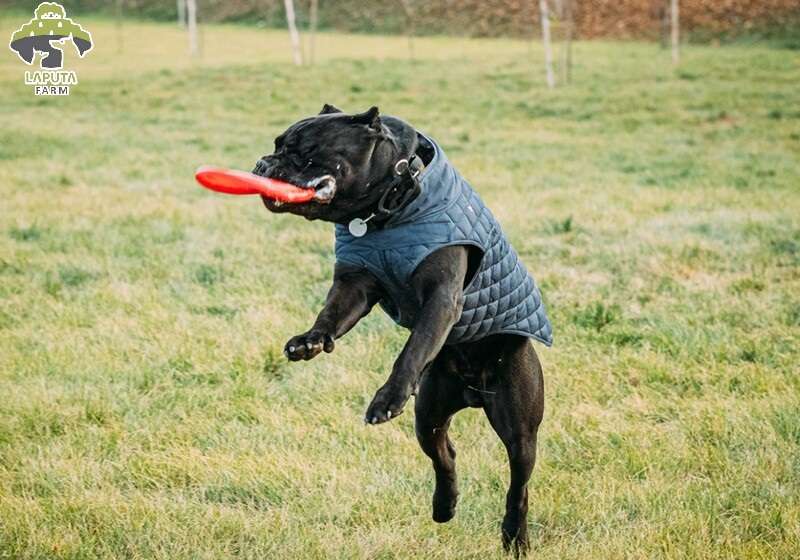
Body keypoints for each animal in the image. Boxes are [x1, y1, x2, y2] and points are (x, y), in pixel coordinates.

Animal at [253, 106, 552, 556]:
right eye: (276, 147)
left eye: (304, 153)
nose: (261, 165)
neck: (386, 210)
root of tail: (472, 392)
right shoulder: (355, 284)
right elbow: (331, 315)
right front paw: (310, 341)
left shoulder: (441, 300)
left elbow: (413, 349)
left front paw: (388, 397)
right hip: (429, 413)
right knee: (445, 454)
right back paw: (444, 506)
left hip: (519, 428)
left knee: (519, 485)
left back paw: (514, 536)